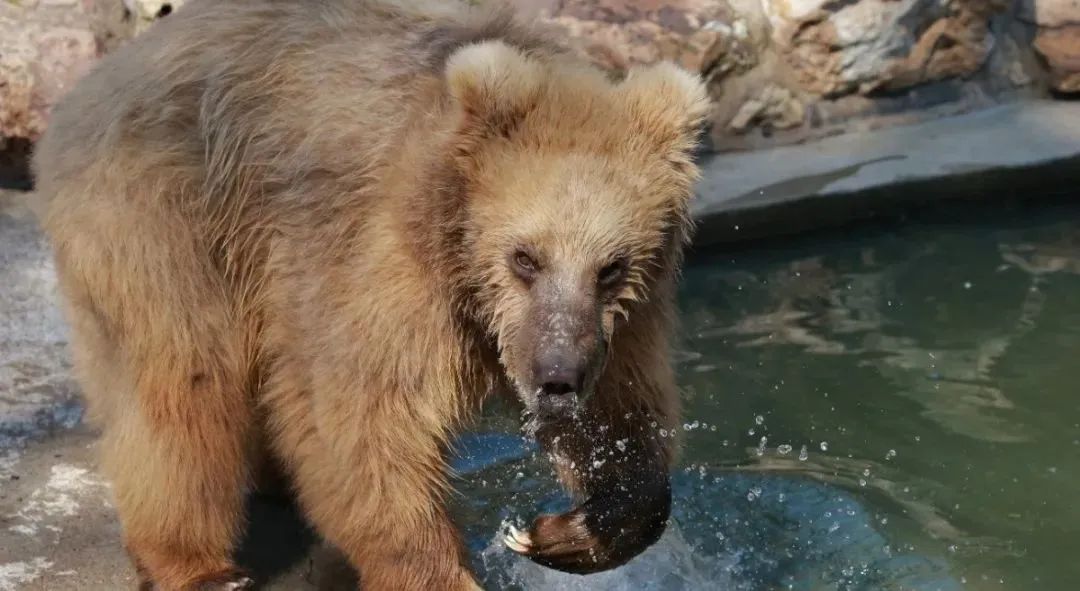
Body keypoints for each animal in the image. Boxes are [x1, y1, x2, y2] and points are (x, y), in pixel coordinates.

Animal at [31, 1, 708, 591]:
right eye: (524, 257)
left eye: (611, 267)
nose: (557, 377)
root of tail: (98, 80)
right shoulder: (380, 266)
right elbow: (363, 421)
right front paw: (441, 570)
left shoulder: (625, 321)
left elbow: (625, 415)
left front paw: (567, 532)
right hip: (170, 212)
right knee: (183, 386)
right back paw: (201, 567)